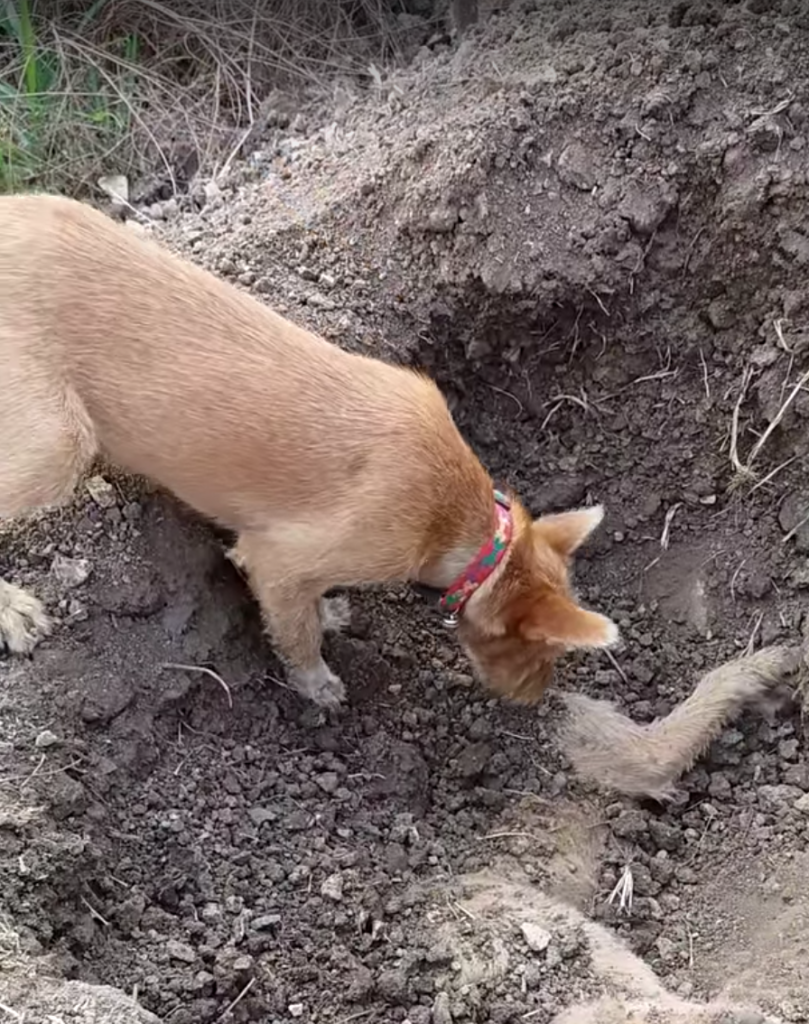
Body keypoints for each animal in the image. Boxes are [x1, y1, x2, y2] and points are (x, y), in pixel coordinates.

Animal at [0, 193, 618, 704]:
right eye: (543, 648)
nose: (535, 701)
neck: (460, 523)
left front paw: (330, 611)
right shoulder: (280, 560)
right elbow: (297, 633)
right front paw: (317, 682)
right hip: (57, 444)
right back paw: (13, 611)